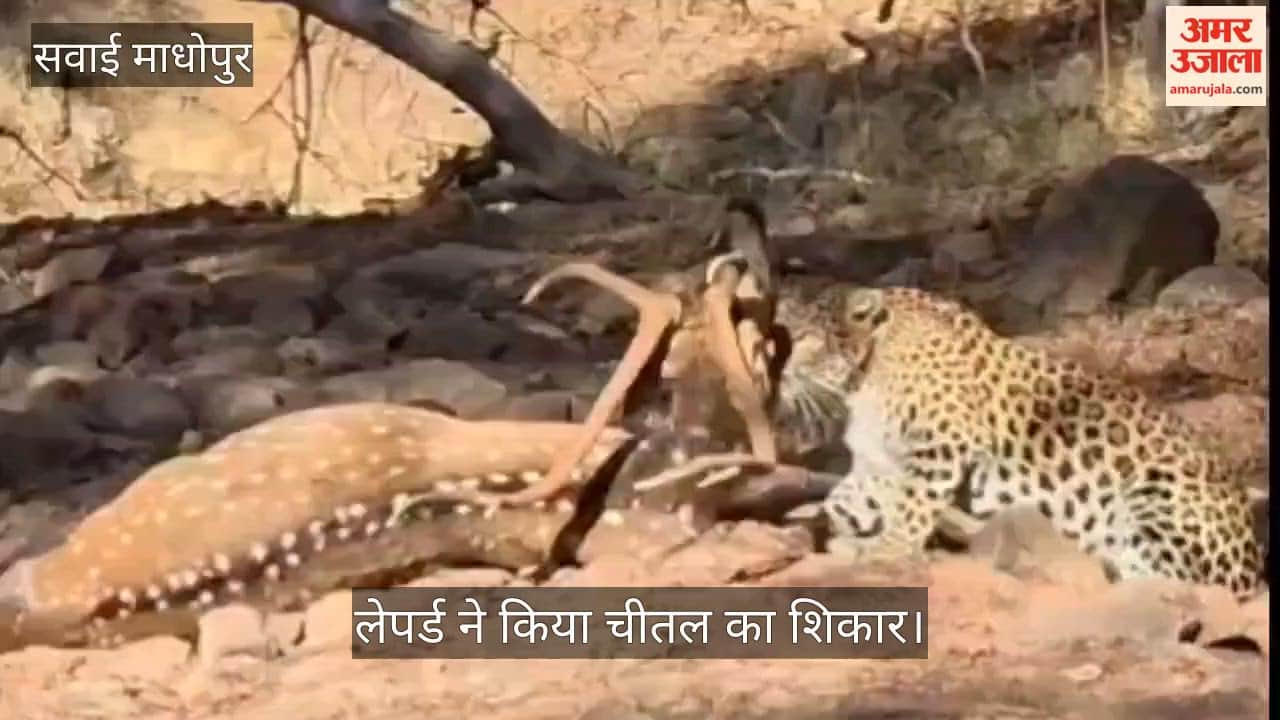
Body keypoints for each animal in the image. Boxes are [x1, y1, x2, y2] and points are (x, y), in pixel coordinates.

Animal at [768, 283, 1264, 599]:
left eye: (804, 339)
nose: (774, 372)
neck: (864, 377)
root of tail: (1253, 567)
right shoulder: (878, 466)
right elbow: (843, 501)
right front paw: (817, 525)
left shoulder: (939, 446)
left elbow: (911, 508)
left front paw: (886, 548)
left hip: (1157, 491)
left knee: (1156, 575)